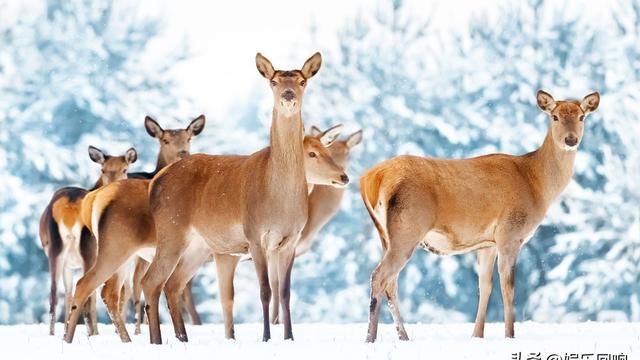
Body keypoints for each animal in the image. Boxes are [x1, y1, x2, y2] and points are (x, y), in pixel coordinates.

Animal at [39, 145, 138, 336]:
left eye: (124, 169)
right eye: (103, 170)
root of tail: (68, 207)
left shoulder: (69, 265)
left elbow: (68, 295)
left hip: (55, 250)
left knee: (54, 294)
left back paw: (53, 334)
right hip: (90, 249)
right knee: (88, 294)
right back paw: (92, 334)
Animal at [61, 115, 204, 344]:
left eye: (188, 138)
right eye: (164, 140)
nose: (183, 154)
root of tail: (92, 198)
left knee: (105, 292)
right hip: (116, 250)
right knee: (95, 287)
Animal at [139, 52, 330, 344]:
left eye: (302, 81)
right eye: (273, 81)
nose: (288, 94)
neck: (280, 200)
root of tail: (155, 182)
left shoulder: (291, 240)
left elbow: (285, 292)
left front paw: (289, 337)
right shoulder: (255, 235)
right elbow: (265, 290)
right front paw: (266, 337)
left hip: (198, 244)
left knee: (173, 283)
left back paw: (183, 338)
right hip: (171, 230)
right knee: (151, 281)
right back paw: (158, 341)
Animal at [360, 90, 600, 344]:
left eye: (582, 116)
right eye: (554, 116)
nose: (571, 140)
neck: (536, 184)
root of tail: (371, 179)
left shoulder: (487, 243)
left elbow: (485, 286)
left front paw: (477, 335)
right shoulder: (509, 233)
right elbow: (508, 287)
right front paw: (510, 335)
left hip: (385, 235)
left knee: (391, 283)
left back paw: (403, 337)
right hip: (407, 227)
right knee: (379, 276)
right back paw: (370, 338)